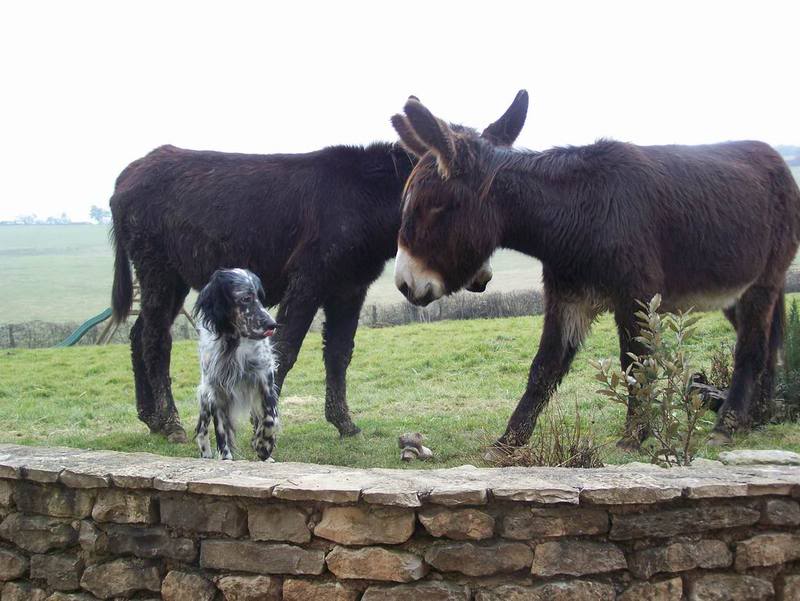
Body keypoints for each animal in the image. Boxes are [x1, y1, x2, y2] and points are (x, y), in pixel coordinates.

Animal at [195, 268, 280, 460]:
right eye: (246, 298)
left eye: (260, 297)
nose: (273, 324)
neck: (233, 344)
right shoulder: (216, 390)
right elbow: (221, 431)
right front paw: (226, 458)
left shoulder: (265, 379)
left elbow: (270, 419)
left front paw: (262, 445)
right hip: (205, 396)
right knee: (201, 429)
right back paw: (206, 454)